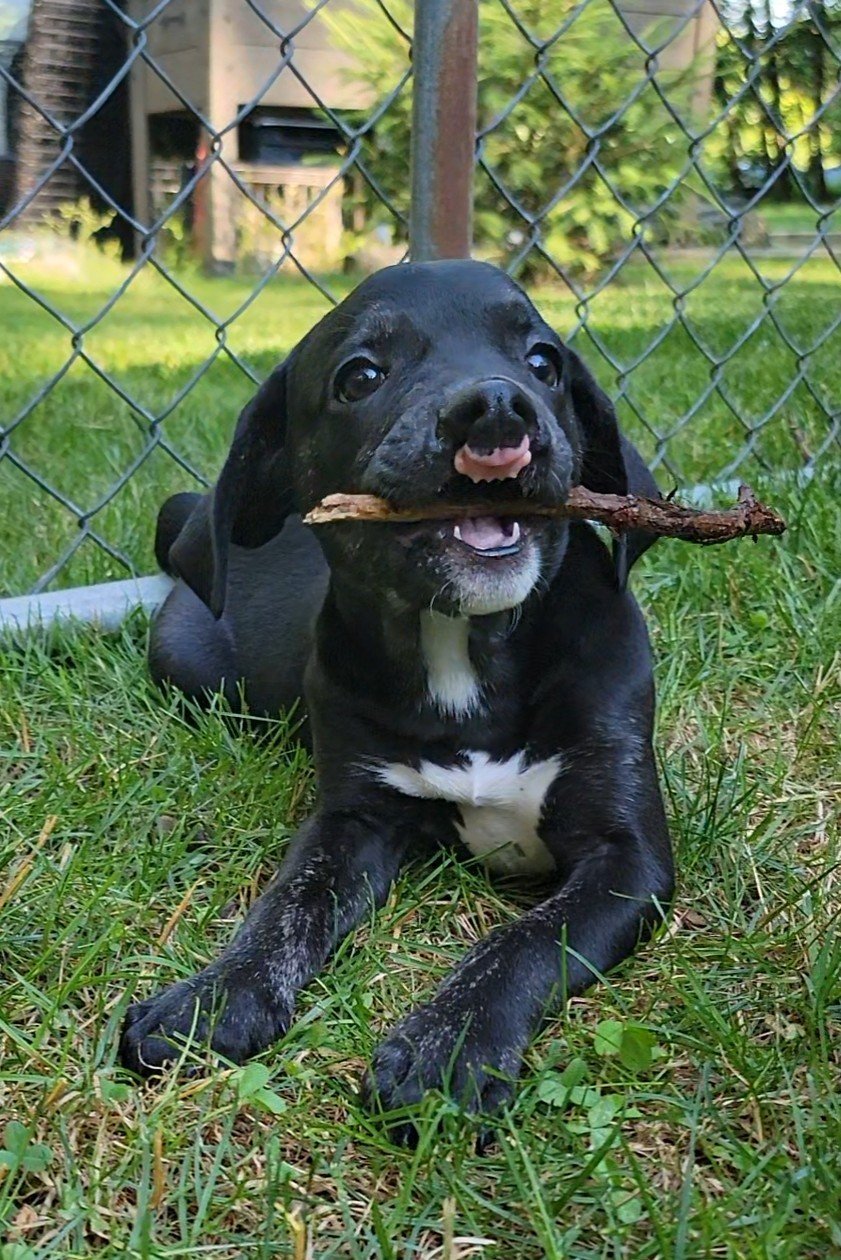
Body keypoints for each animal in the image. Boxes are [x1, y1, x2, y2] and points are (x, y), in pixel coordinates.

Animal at [121, 260, 675, 1128]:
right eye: (361, 376)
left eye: (543, 363)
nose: (497, 406)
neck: (461, 651)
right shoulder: (352, 819)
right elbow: (286, 908)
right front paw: (212, 998)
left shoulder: (628, 855)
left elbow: (524, 942)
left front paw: (448, 1046)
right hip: (186, 663)